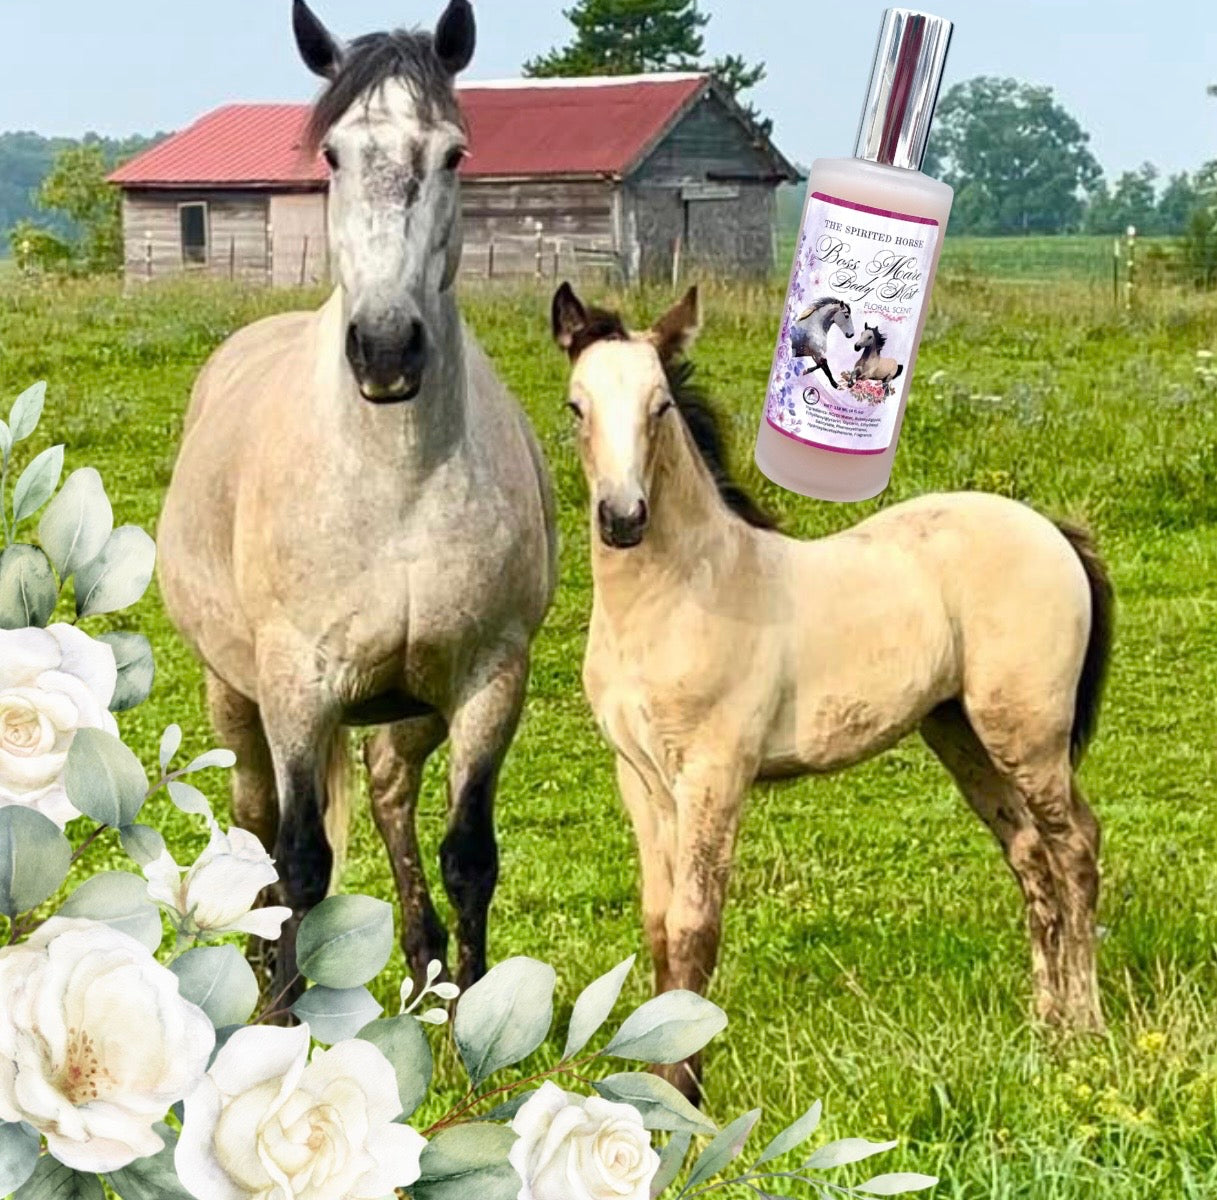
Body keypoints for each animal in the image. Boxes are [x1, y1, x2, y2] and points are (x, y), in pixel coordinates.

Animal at [157, 0, 556, 1003]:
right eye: (334, 155)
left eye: (452, 154)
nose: (384, 348)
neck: (394, 482)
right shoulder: (297, 688)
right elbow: (301, 861)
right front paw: (281, 1016)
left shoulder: (488, 680)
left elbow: (469, 856)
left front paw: (470, 1019)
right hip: (236, 695)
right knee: (258, 823)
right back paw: (263, 969)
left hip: (407, 707)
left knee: (387, 794)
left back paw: (421, 969)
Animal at [551, 281, 1112, 1103]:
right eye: (576, 406)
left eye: (660, 406)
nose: (623, 520)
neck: (678, 594)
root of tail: (1051, 529)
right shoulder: (640, 779)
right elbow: (657, 923)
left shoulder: (715, 773)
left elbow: (693, 926)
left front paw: (682, 1092)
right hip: (962, 734)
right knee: (1031, 857)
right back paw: (1043, 1026)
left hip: (1027, 731)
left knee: (1075, 849)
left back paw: (1084, 1028)